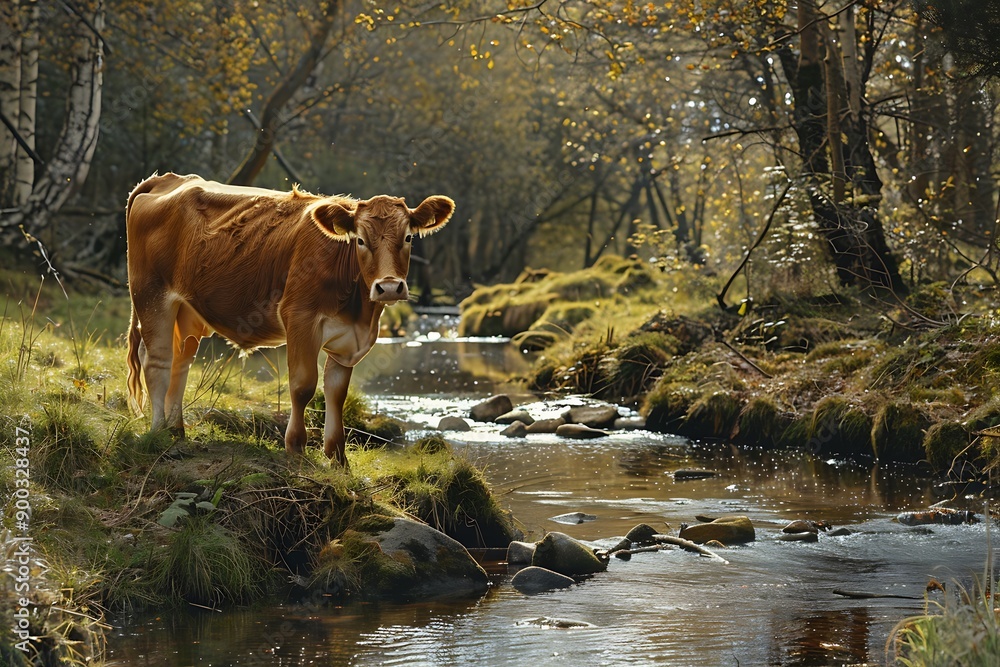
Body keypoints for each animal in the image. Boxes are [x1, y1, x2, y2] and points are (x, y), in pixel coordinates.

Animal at [123, 175, 456, 468]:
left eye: (408, 237)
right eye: (360, 240)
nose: (388, 287)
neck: (359, 310)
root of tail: (170, 178)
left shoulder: (349, 340)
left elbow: (336, 392)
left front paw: (338, 458)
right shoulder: (300, 318)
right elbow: (303, 385)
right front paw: (295, 447)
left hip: (188, 311)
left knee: (181, 363)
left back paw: (176, 430)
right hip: (151, 295)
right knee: (158, 362)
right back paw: (158, 433)